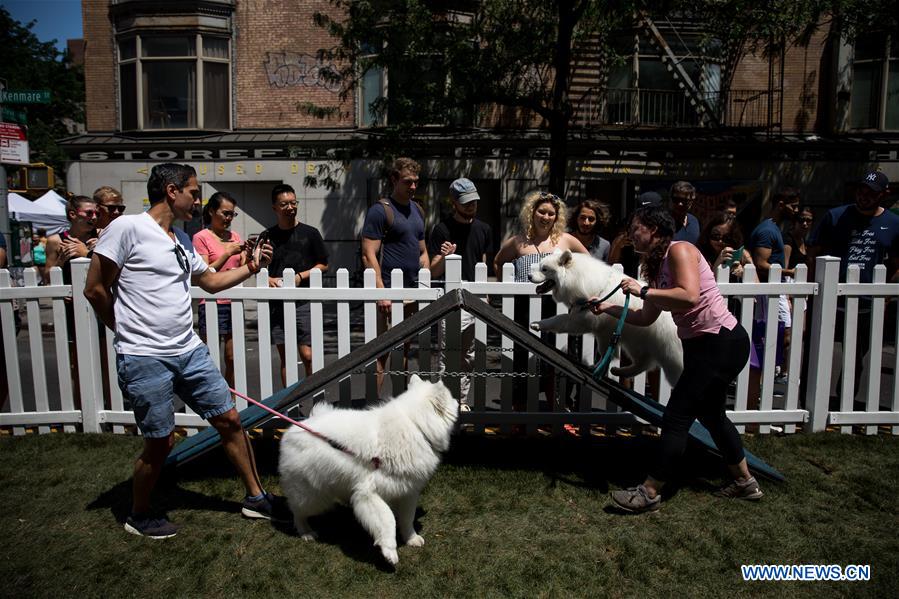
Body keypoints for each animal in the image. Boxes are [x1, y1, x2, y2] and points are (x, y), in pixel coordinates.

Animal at [278, 376, 458, 568]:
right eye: (451, 397)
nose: (458, 401)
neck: (416, 426)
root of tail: (295, 428)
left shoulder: (407, 492)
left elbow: (406, 518)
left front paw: (412, 539)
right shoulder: (368, 492)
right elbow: (388, 519)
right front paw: (389, 552)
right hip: (313, 497)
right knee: (297, 512)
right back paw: (306, 532)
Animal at [528, 250, 684, 384]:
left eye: (544, 269)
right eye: (540, 266)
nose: (529, 276)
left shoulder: (587, 323)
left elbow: (558, 320)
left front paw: (538, 324)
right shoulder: (601, 330)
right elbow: (605, 353)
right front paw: (598, 368)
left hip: (670, 357)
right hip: (637, 342)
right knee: (643, 364)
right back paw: (621, 371)